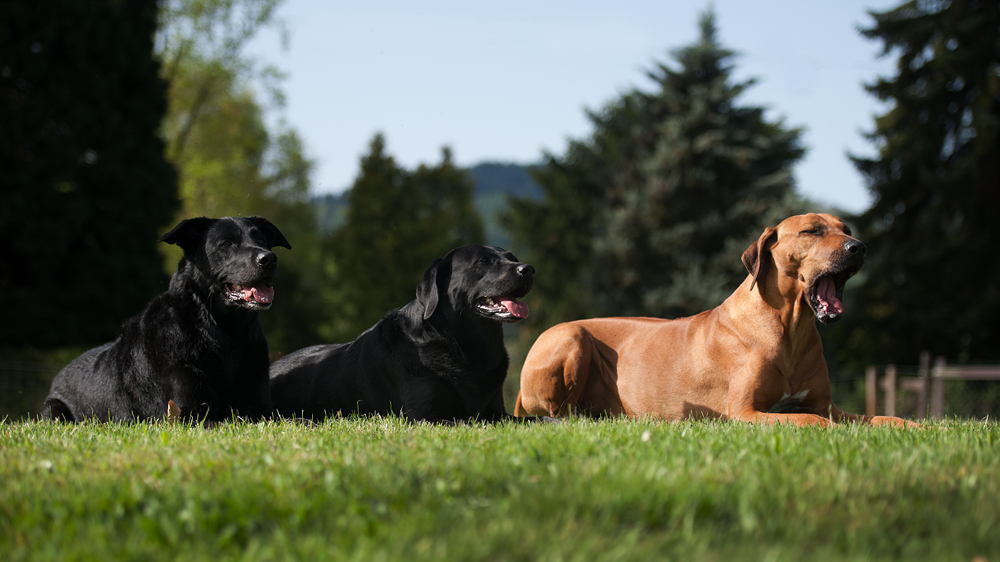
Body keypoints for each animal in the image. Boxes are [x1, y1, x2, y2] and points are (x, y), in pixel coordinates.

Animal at [42, 214, 290, 420]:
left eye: (261, 240)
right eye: (226, 244)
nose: (269, 258)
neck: (226, 332)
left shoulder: (260, 406)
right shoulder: (188, 413)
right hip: (54, 410)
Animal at [266, 243, 532, 422]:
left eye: (512, 258)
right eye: (483, 261)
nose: (528, 268)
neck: (469, 347)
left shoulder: (498, 413)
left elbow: (534, 420)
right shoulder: (427, 416)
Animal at [516, 212, 916, 426]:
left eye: (845, 229)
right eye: (811, 231)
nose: (858, 247)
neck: (789, 328)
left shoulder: (827, 405)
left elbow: (881, 419)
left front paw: (919, 427)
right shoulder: (745, 412)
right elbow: (809, 420)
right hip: (572, 338)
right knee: (561, 414)